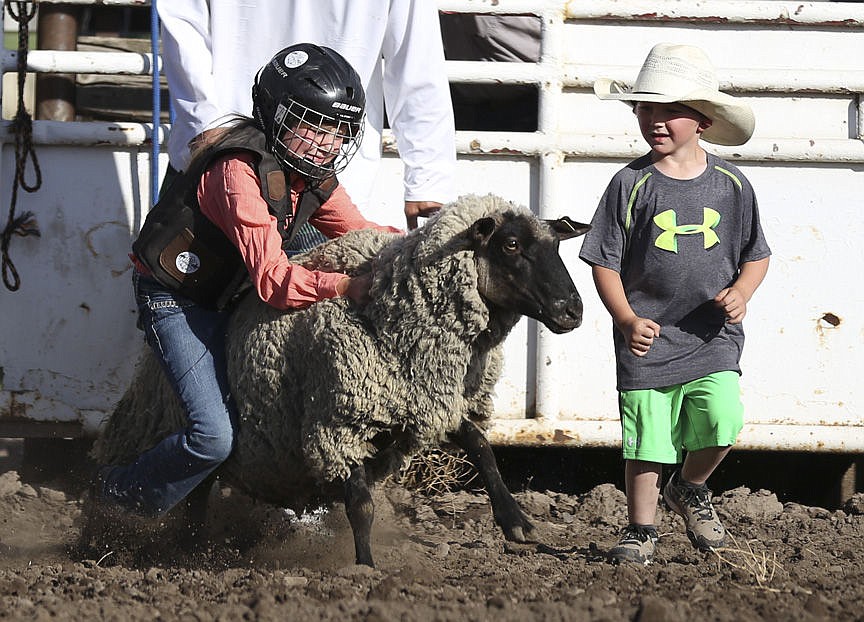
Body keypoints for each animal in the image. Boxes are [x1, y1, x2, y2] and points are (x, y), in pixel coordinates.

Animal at [88, 195, 592, 572]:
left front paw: (516, 521)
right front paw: (364, 569)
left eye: (556, 246)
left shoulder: (431, 402)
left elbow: (481, 447)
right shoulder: (339, 420)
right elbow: (361, 506)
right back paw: (114, 516)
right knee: (171, 478)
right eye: (511, 245)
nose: (572, 310)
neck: (393, 316)